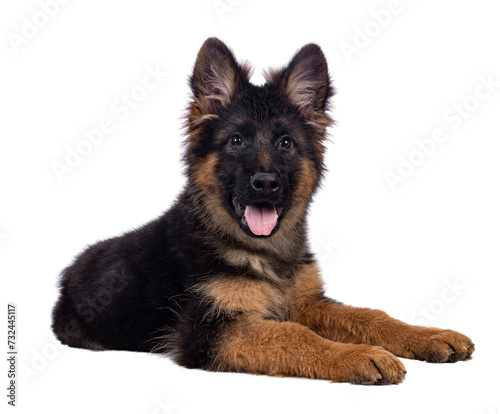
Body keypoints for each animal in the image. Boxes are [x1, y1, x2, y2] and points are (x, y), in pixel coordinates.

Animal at [52, 37, 474, 384]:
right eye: (236, 141)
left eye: (286, 143)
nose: (266, 183)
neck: (261, 250)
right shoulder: (211, 329)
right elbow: (293, 335)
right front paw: (358, 355)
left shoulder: (304, 302)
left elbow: (367, 315)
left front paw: (428, 335)